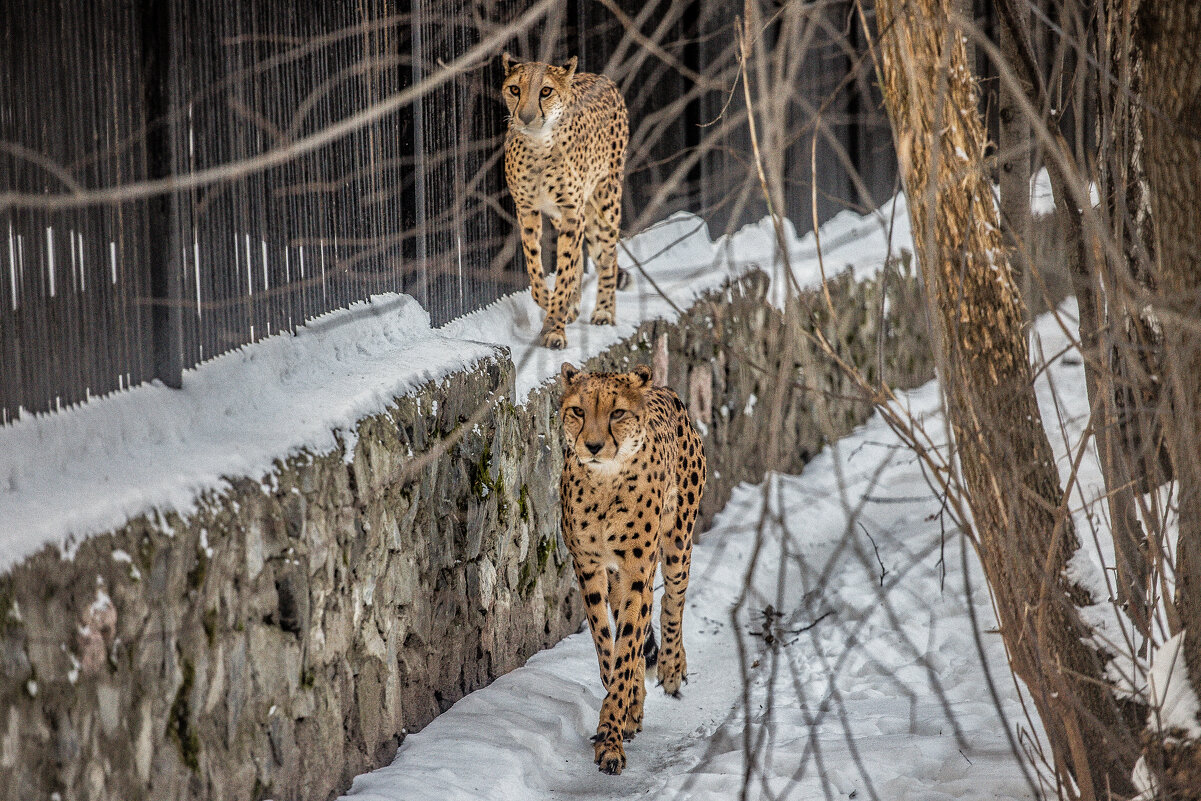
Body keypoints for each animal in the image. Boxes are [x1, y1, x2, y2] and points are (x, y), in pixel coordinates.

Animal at [499, 53, 629, 348]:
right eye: (515, 89)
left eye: (545, 91)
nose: (526, 117)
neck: (538, 145)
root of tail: (599, 76)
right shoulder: (527, 209)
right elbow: (535, 266)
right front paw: (551, 302)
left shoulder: (572, 210)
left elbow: (566, 265)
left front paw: (554, 327)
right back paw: (574, 303)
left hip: (606, 197)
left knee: (608, 252)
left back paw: (604, 310)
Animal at [557, 367, 706, 773]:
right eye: (578, 411)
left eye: (617, 413)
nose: (593, 446)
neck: (604, 482)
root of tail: (662, 387)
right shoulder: (589, 567)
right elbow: (608, 648)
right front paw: (623, 713)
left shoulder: (639, 571)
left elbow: (627, 651)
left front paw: (610, 736)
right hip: (618, 576)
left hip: (677, 542)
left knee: (672, 599)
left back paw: (671, 666)